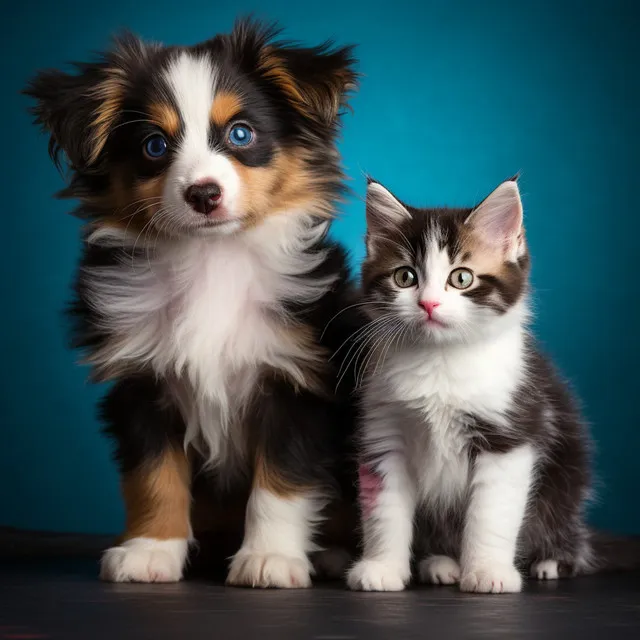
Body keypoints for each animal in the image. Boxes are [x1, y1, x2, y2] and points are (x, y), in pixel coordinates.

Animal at [23, 18, 360, 592]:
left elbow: (282, 480)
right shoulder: (141, 383)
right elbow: (153, 475)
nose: (203, 193)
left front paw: (269, 558)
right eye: (155, 145)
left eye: (241, 134)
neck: (211, 258)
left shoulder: (296, 381)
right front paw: (150, 551)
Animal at [348, 178, 592, 592]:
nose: (429, 304)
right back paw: (441, 563)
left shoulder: (509, 431)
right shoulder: (385, 429)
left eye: (461, 278)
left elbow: (490, 513)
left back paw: (550, 562)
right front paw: (382, 568)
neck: (440, 358)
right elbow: (385, 505)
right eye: (405, 277)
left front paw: (488, 572)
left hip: (567, 476)